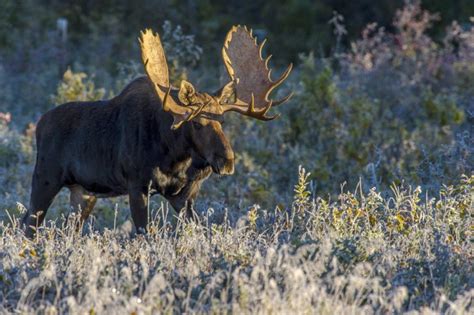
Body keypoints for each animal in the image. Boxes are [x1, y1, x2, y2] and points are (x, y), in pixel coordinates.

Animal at [24, 24, 294, 236]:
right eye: (197, 122)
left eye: (222, 121)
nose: (226, 160)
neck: (174, 156)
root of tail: (39, 124)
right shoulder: (137, 185)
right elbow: (143, 233)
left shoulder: (183, 194)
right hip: (45, 178)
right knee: (28, 224)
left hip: (84, 193)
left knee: (69, 228)